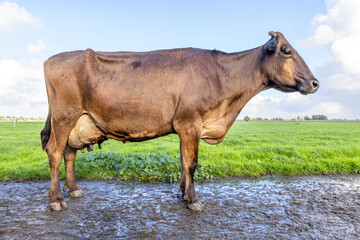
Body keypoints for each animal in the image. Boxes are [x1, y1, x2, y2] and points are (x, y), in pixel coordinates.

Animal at [41, 31, 318, 210]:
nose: (315, 82)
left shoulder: (185, 128)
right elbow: (192, 164)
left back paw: (74, 189)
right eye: (287, 51)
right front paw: (194, 200)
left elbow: (184, 162)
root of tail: (54, 58)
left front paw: (183, 194)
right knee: (54, 152)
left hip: (78, 121)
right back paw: (56, 199)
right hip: (64, 117)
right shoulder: (190, 123)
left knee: (68, 153)